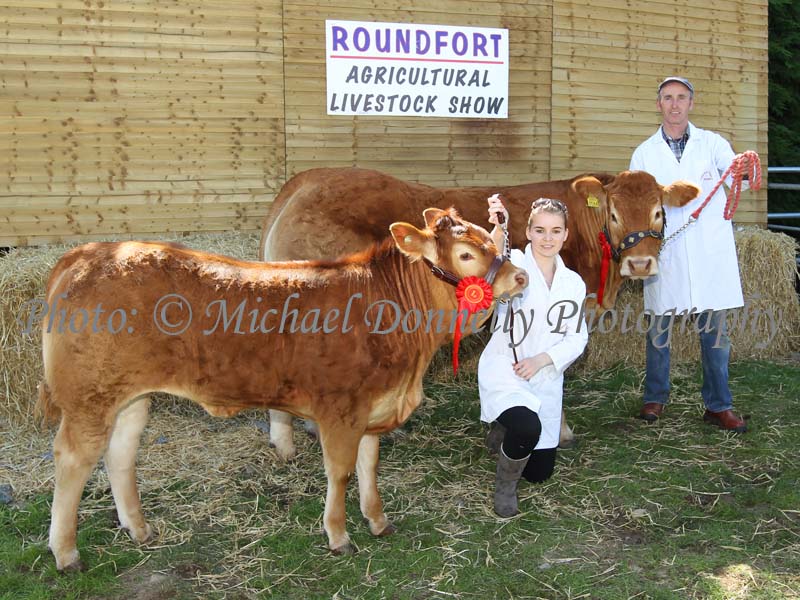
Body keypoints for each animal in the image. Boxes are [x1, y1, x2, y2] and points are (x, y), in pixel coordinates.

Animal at [37, 207, 528, 572]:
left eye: (490, 239)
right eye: (466, 254)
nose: (520, 278)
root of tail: (87, 254)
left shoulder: (375, 406)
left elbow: (369, 465)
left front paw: (378, 520)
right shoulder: (340, 410)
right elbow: (341, 472)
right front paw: (338, 535)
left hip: (130, 398)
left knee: (120, 453)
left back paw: (139, 530)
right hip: (87, 398)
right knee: (73, 460)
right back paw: (66, 553)